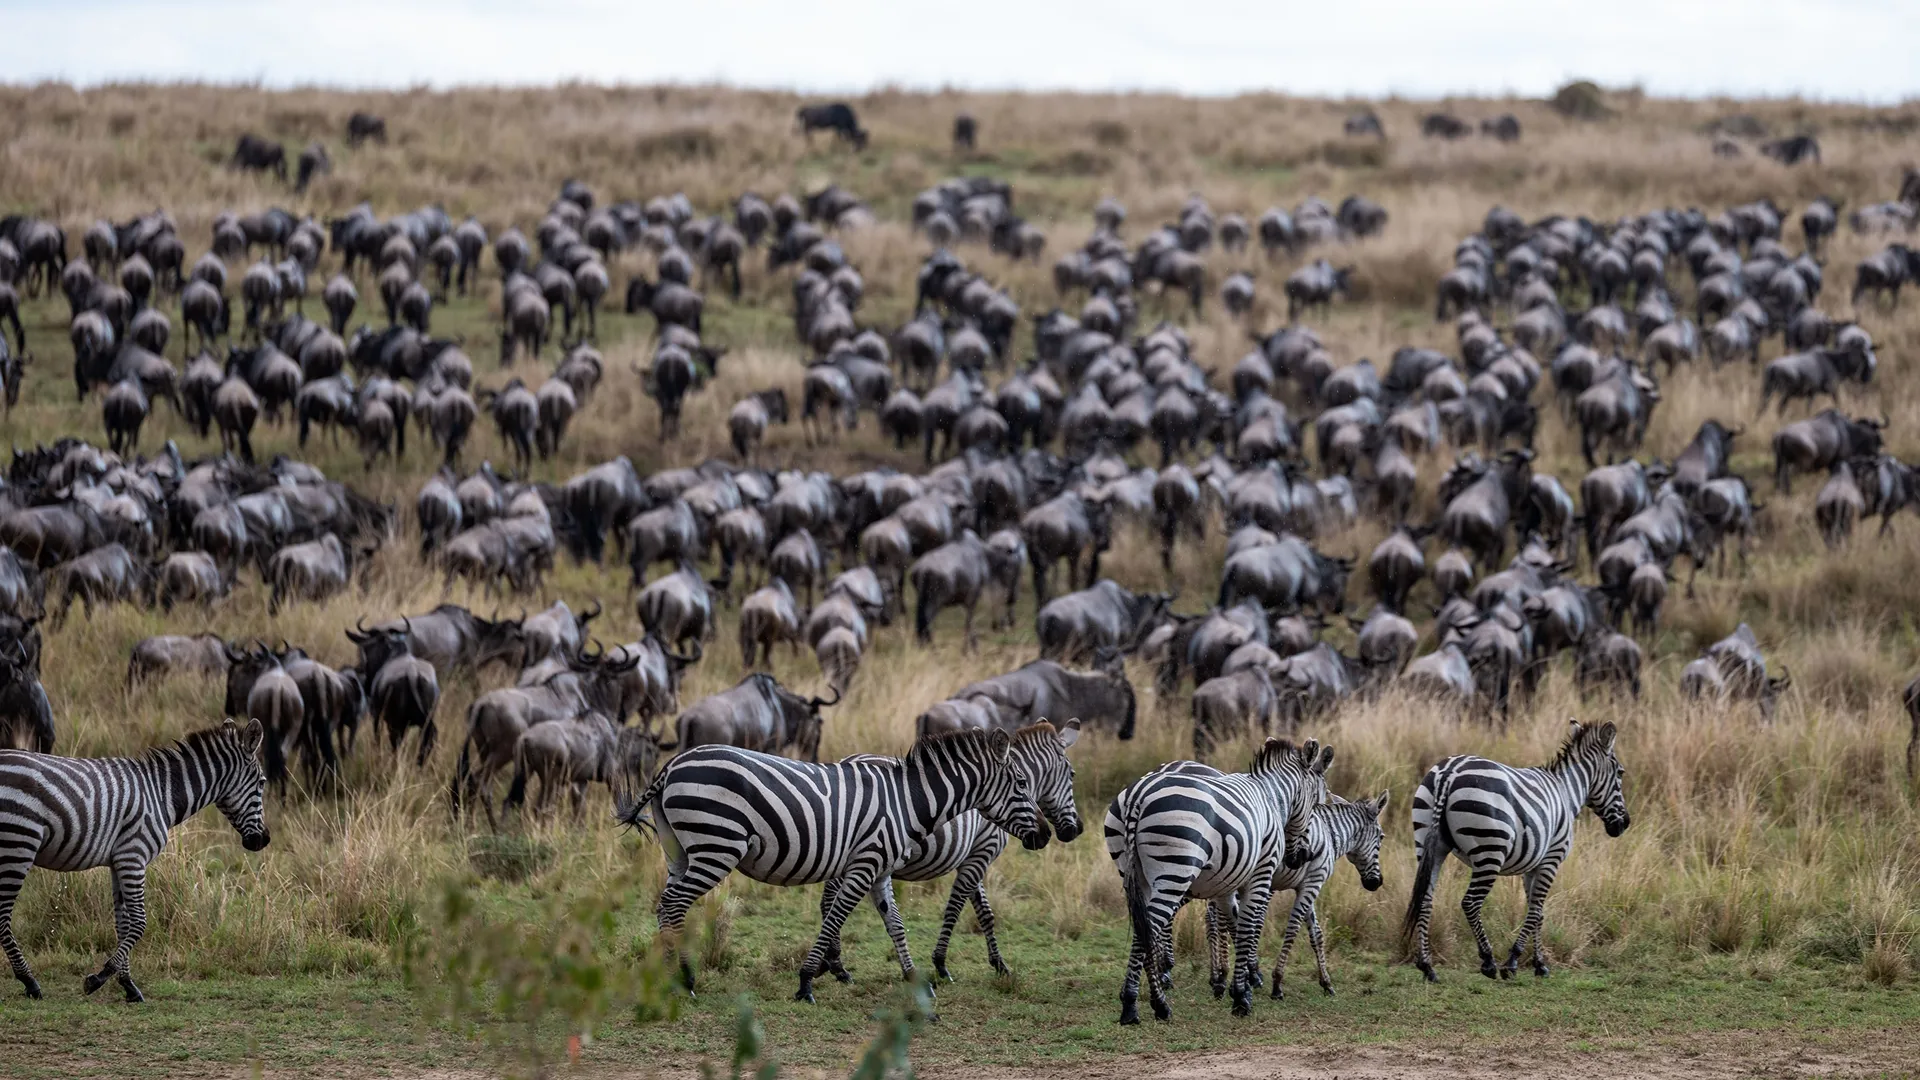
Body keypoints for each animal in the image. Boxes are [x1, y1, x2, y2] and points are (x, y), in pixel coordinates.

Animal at [0, 719, 270, 1002]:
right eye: (262, 783)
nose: (263, 840)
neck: (162, 795)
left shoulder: (119, 861)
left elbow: (124, 923)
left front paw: (127, 984)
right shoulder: (134, 856)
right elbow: (139, 922)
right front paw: (99, 978)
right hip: (19, 842)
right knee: (3, 918)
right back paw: (29, 982)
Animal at [621, 727, 1045, 1003]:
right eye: (1022, 784)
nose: (1044, 836)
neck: (907, 802)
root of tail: (671, 765)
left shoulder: (881, 870)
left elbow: (895, 924)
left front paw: (914, 979)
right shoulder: (865, 862)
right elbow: (836, 917)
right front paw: (807, 981)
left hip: (680, 851)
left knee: (664, 905)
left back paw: (667, 978)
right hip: (717, 845)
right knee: (674, 904)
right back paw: (685, 979)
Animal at [822, 719, 1083, 985]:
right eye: (1072, 775)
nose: (1076, 830)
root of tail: (846, 760)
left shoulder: (972, 857)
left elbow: (985, 912)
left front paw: (999, 965)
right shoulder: (983, 852)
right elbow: (955, 907)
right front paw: (941, 963)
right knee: (829, 899)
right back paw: (836, 964)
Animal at [1105, 737, 1332, 1024]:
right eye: (1317, 805)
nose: (1301, 857)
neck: (1271, 797)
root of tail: (1139, 794)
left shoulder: (1227, 885)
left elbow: (1235, 926)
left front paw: (1238, 984)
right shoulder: (1262, 872)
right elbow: (1248, 926)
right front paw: (1242, 997)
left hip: (1132, 872)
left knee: (1141, 929)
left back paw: (1147, 1002)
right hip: (1175, 870)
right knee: (1149, 930)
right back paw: (1140, 1006)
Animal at [1403, 719, 1630, 982]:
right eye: (1620, 773)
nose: (1625, 824)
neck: (1567, 792)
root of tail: (1449, 772)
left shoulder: (1532, 865)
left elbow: (1537, 912)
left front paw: (1539, 964)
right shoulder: (1551, 859)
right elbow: (1536, 910)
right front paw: (1513, 962)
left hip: (1429, 843)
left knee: (1425, 899)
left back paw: (1427, 966)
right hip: (1490, 849)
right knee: (1470, 902)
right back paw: (1488, 961)